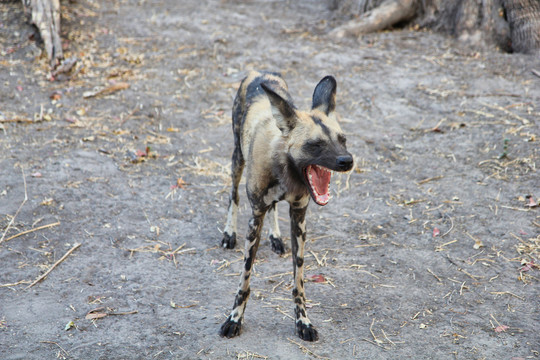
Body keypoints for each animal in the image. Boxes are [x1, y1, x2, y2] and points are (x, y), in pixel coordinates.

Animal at [219, 70, 354, 340]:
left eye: (343, 140)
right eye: (315, 144)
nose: (347, 160)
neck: (286, 171)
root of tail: (258, 72)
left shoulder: (299, 217)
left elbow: (298, 282)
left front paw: (303, 322)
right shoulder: (255, 217)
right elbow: (245, 280)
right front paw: (234, 319)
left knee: (273, 207)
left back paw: (276, 238)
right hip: (237, 160)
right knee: (233, 196)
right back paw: (229, 233)